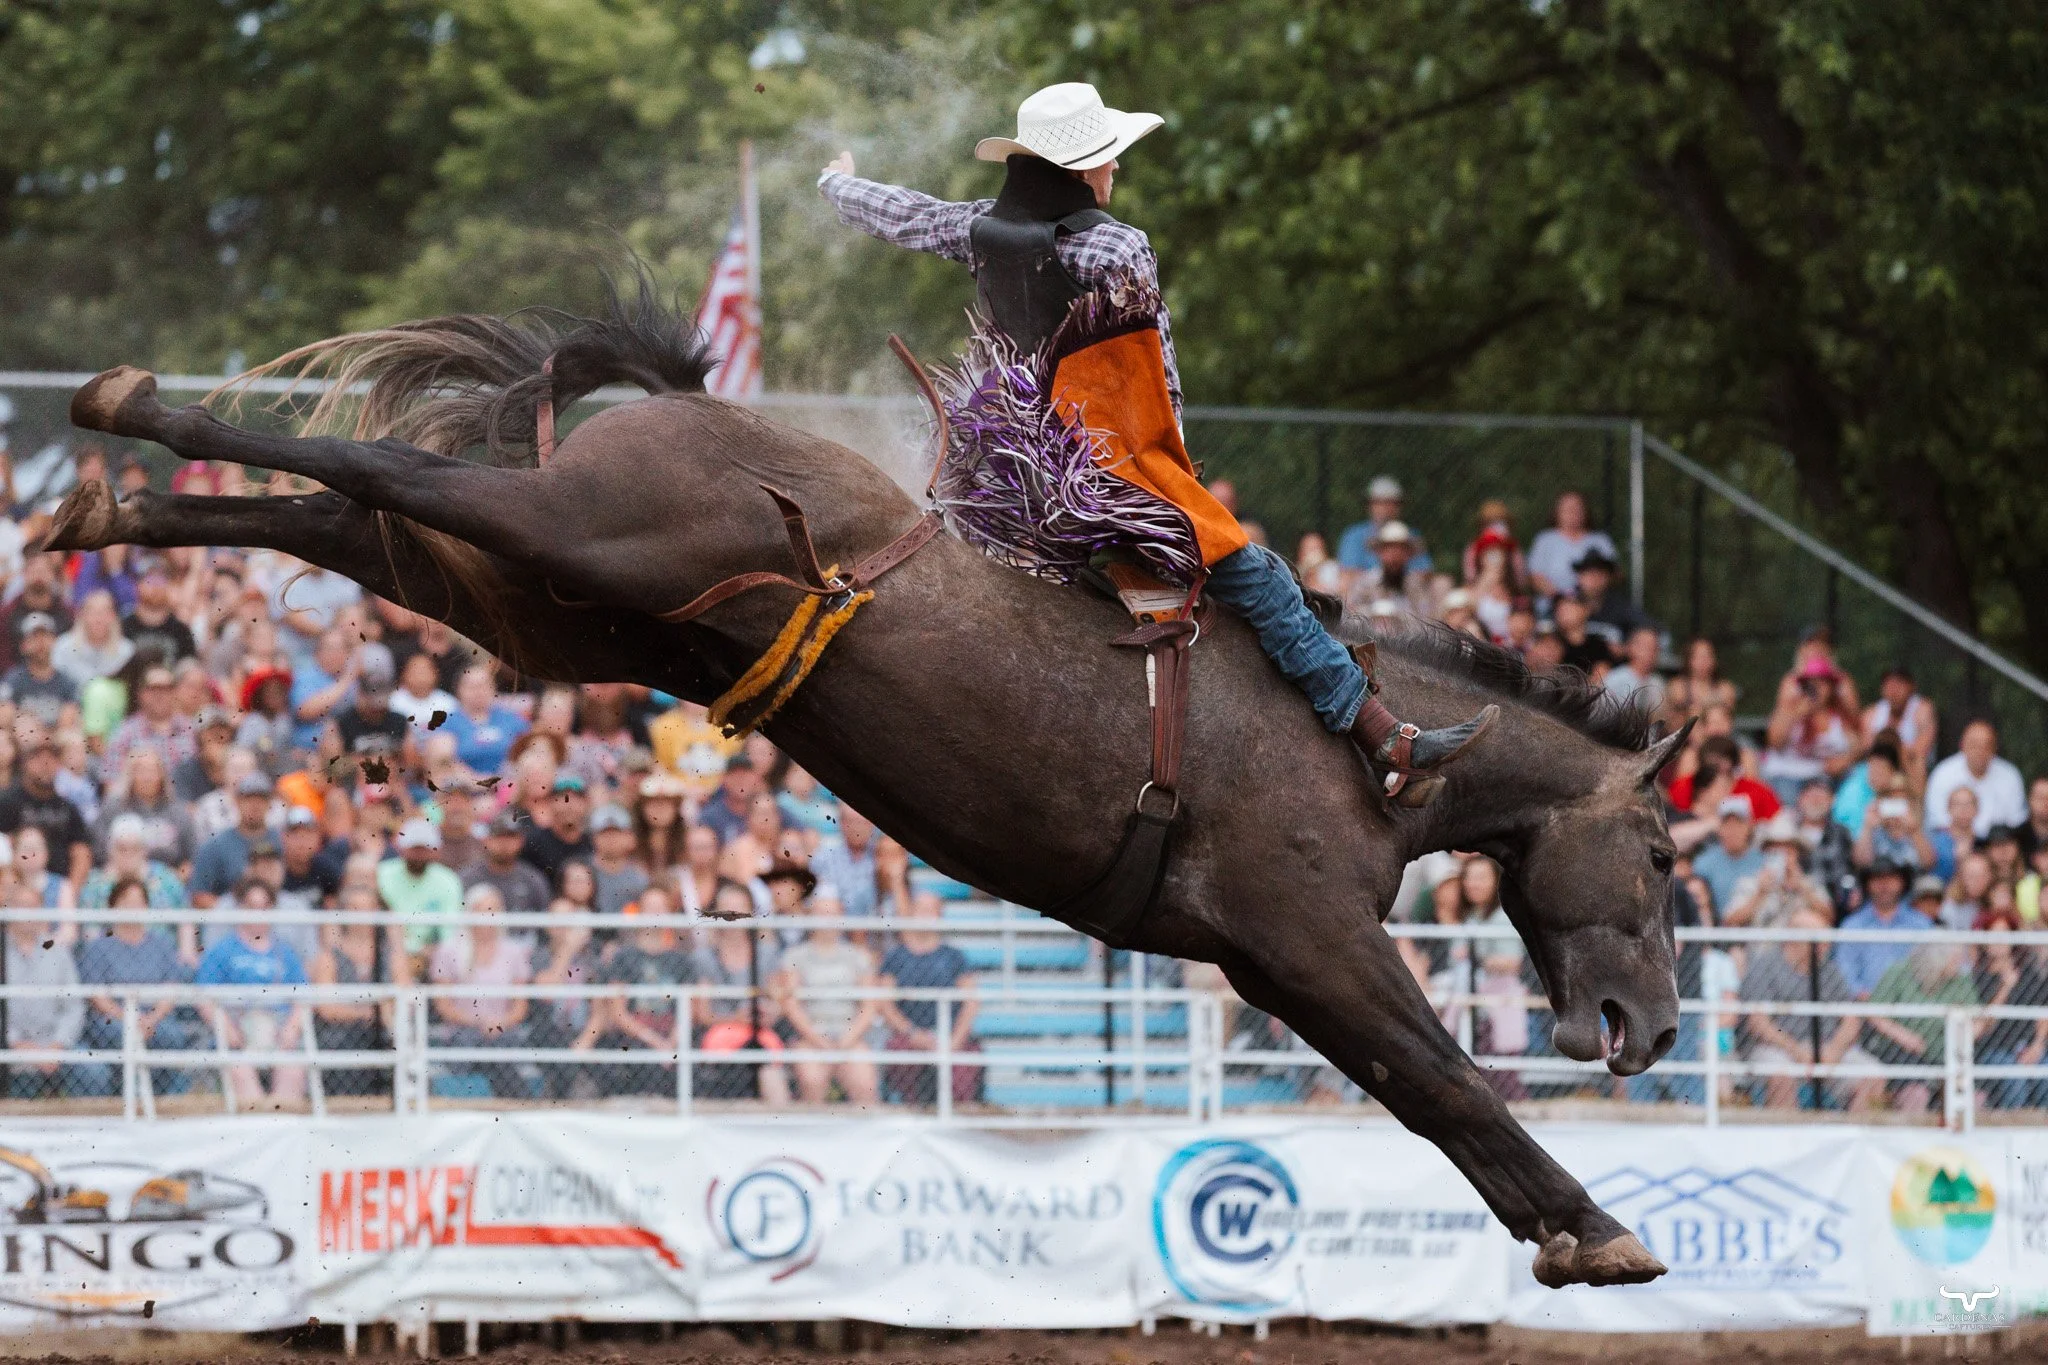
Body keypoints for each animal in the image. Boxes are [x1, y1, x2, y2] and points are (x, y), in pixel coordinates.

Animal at [50, 285, 1687, 1288]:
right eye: (1670, 857)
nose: (1661, 1029)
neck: (1358, 734)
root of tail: (685, 406)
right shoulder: (1313, 938)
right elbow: (1447, 1076)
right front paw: (1601, 1229)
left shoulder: (1276, 965)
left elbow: (1418, 1096)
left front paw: (1563, 1234)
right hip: (579, 538)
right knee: (391, 475)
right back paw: (128, 415)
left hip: (552, 603)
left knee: (351, 514)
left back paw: (105, 501)